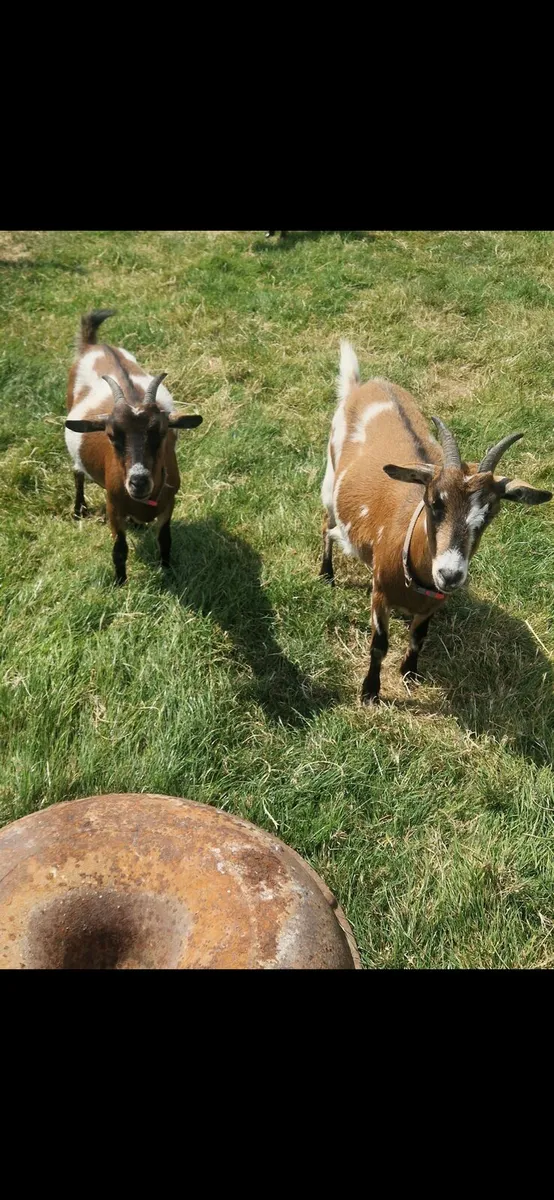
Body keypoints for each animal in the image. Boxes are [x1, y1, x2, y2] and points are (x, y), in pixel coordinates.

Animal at [64, 309, 203, 585]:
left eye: (161, 432)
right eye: (111, 435)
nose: (138, 482)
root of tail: (94, 345)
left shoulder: (169, 504)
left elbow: (165, 540)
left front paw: (167, 569)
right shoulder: (113, 506)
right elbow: (119, 549)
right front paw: (120, 582)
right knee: (77, 472)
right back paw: (78, 510)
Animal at [320, 342, 552, 704]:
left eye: (490, 513)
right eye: (433, 502)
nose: (450, 574)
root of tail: (363, 386)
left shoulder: (432, 605)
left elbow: (419, 637)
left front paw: (410, 672)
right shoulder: (379, 594)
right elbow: (379, 646)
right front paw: (370, 691)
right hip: (330, 482)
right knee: (326, 524)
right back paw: (326, 573)